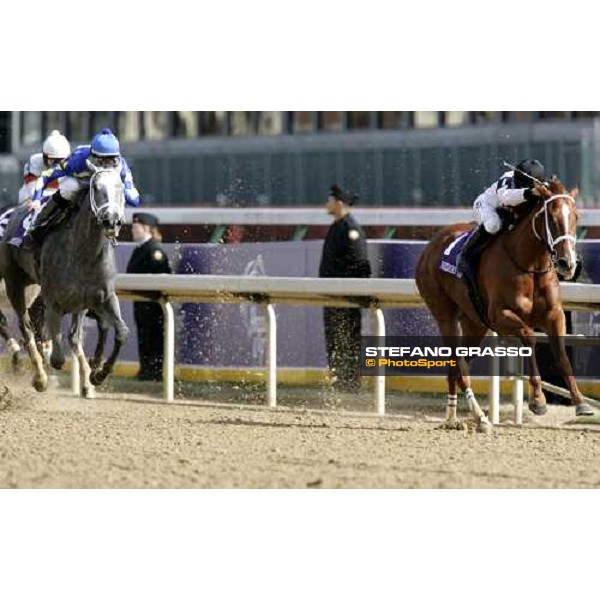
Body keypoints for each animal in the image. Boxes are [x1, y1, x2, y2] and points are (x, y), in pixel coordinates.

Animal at [0, 166, 129, 396]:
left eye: (120, 188)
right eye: (96, 187)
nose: (111, 220)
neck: (84, 253)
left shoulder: (99, 298)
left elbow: (118, 332)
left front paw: (97, 374)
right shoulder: (53, 302)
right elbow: (57, 355)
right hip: (14, 284)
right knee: (25, 328)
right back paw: (39, 377)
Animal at [418, 176, 596, 434]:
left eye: (576, 216)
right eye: (551, 217)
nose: (567, 263)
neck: (530, 265)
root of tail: (429, 248)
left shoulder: (555, 315)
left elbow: (562, 354)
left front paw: (581, 402)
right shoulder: (500, 316)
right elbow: (529, 338)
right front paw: (538, 400)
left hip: (474, 324)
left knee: (456, 367)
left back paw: (453, 418)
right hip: (445, 316)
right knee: (459, 366)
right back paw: (480, 418)